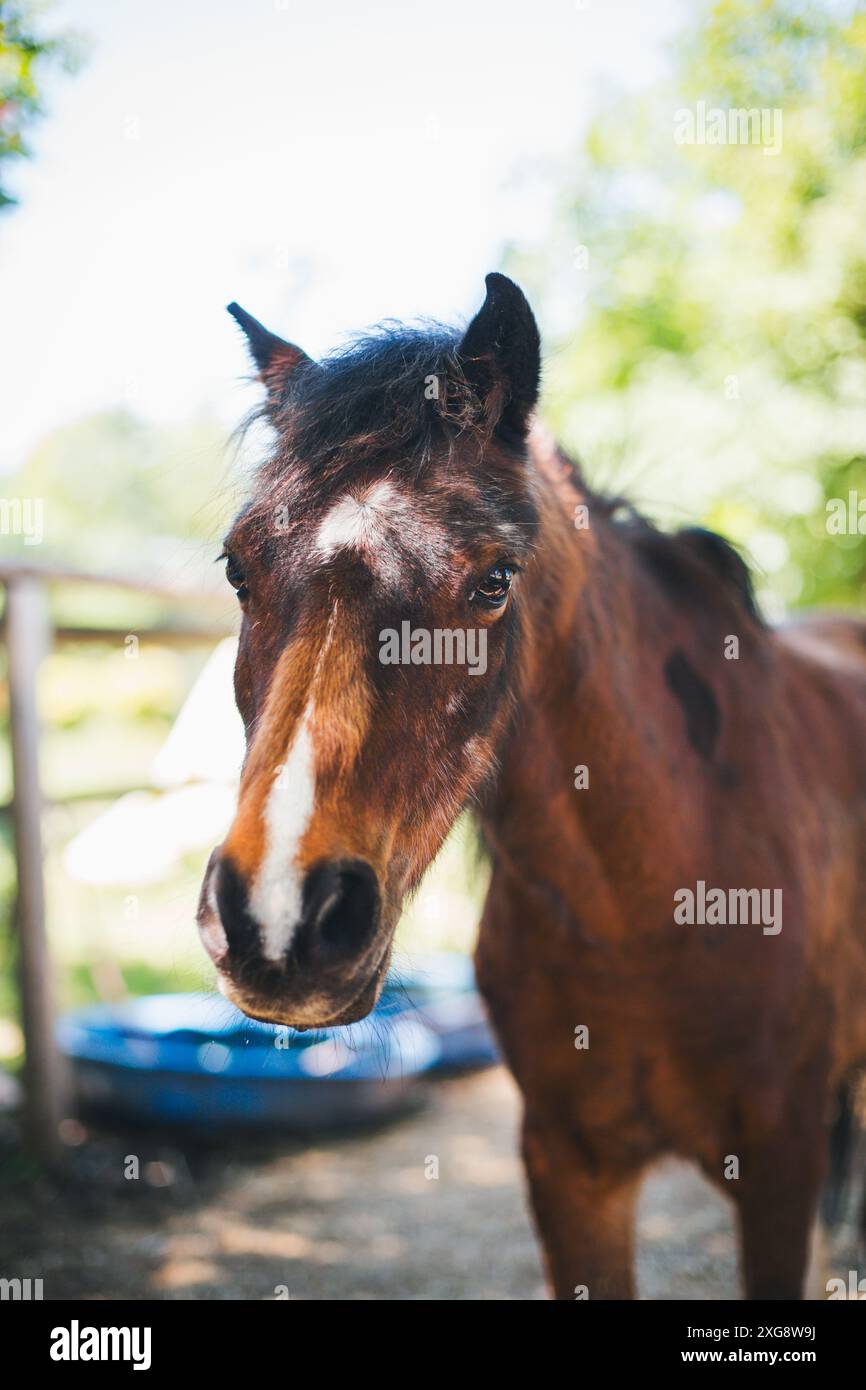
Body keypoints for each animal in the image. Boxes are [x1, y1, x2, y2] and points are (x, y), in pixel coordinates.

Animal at [197, 273, 866, 1299]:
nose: (278, 921)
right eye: (238, 566)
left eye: (494, 580)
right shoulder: (567, 1168)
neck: (651, 910)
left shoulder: (780, 1167)